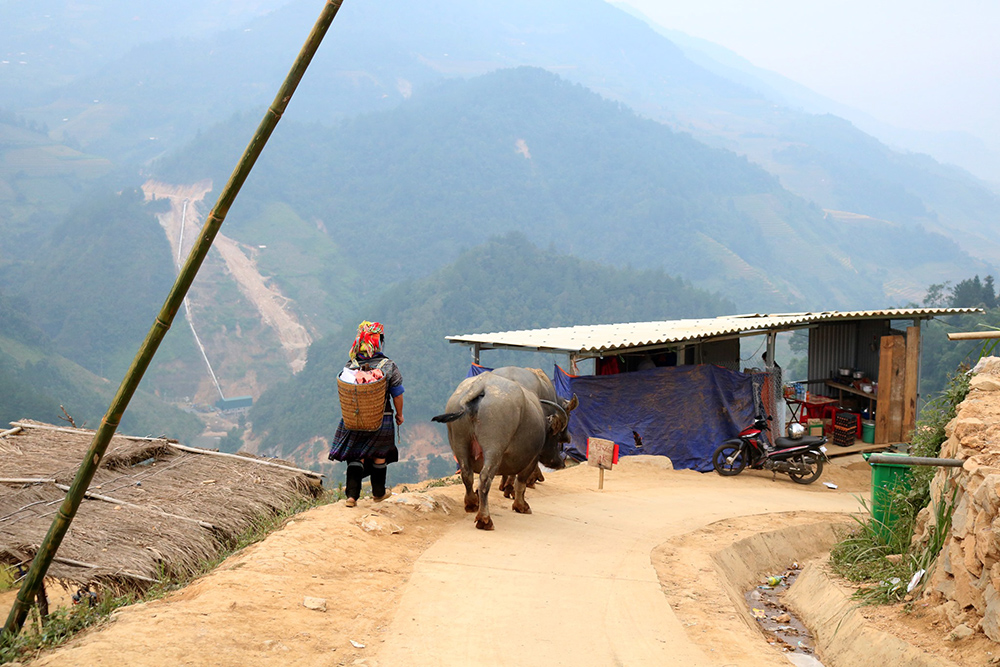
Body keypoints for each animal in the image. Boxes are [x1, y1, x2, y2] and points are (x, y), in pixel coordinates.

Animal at [434, 374, 576, 528]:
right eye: (557, 437)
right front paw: (521, 505)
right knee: (485, 478)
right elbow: (521, 482)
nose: (560, 463)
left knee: (467, 474)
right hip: (494, 447)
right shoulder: (531, 458)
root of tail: (480, 386)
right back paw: (484, 519)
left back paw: (472, 504)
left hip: (460, 444)